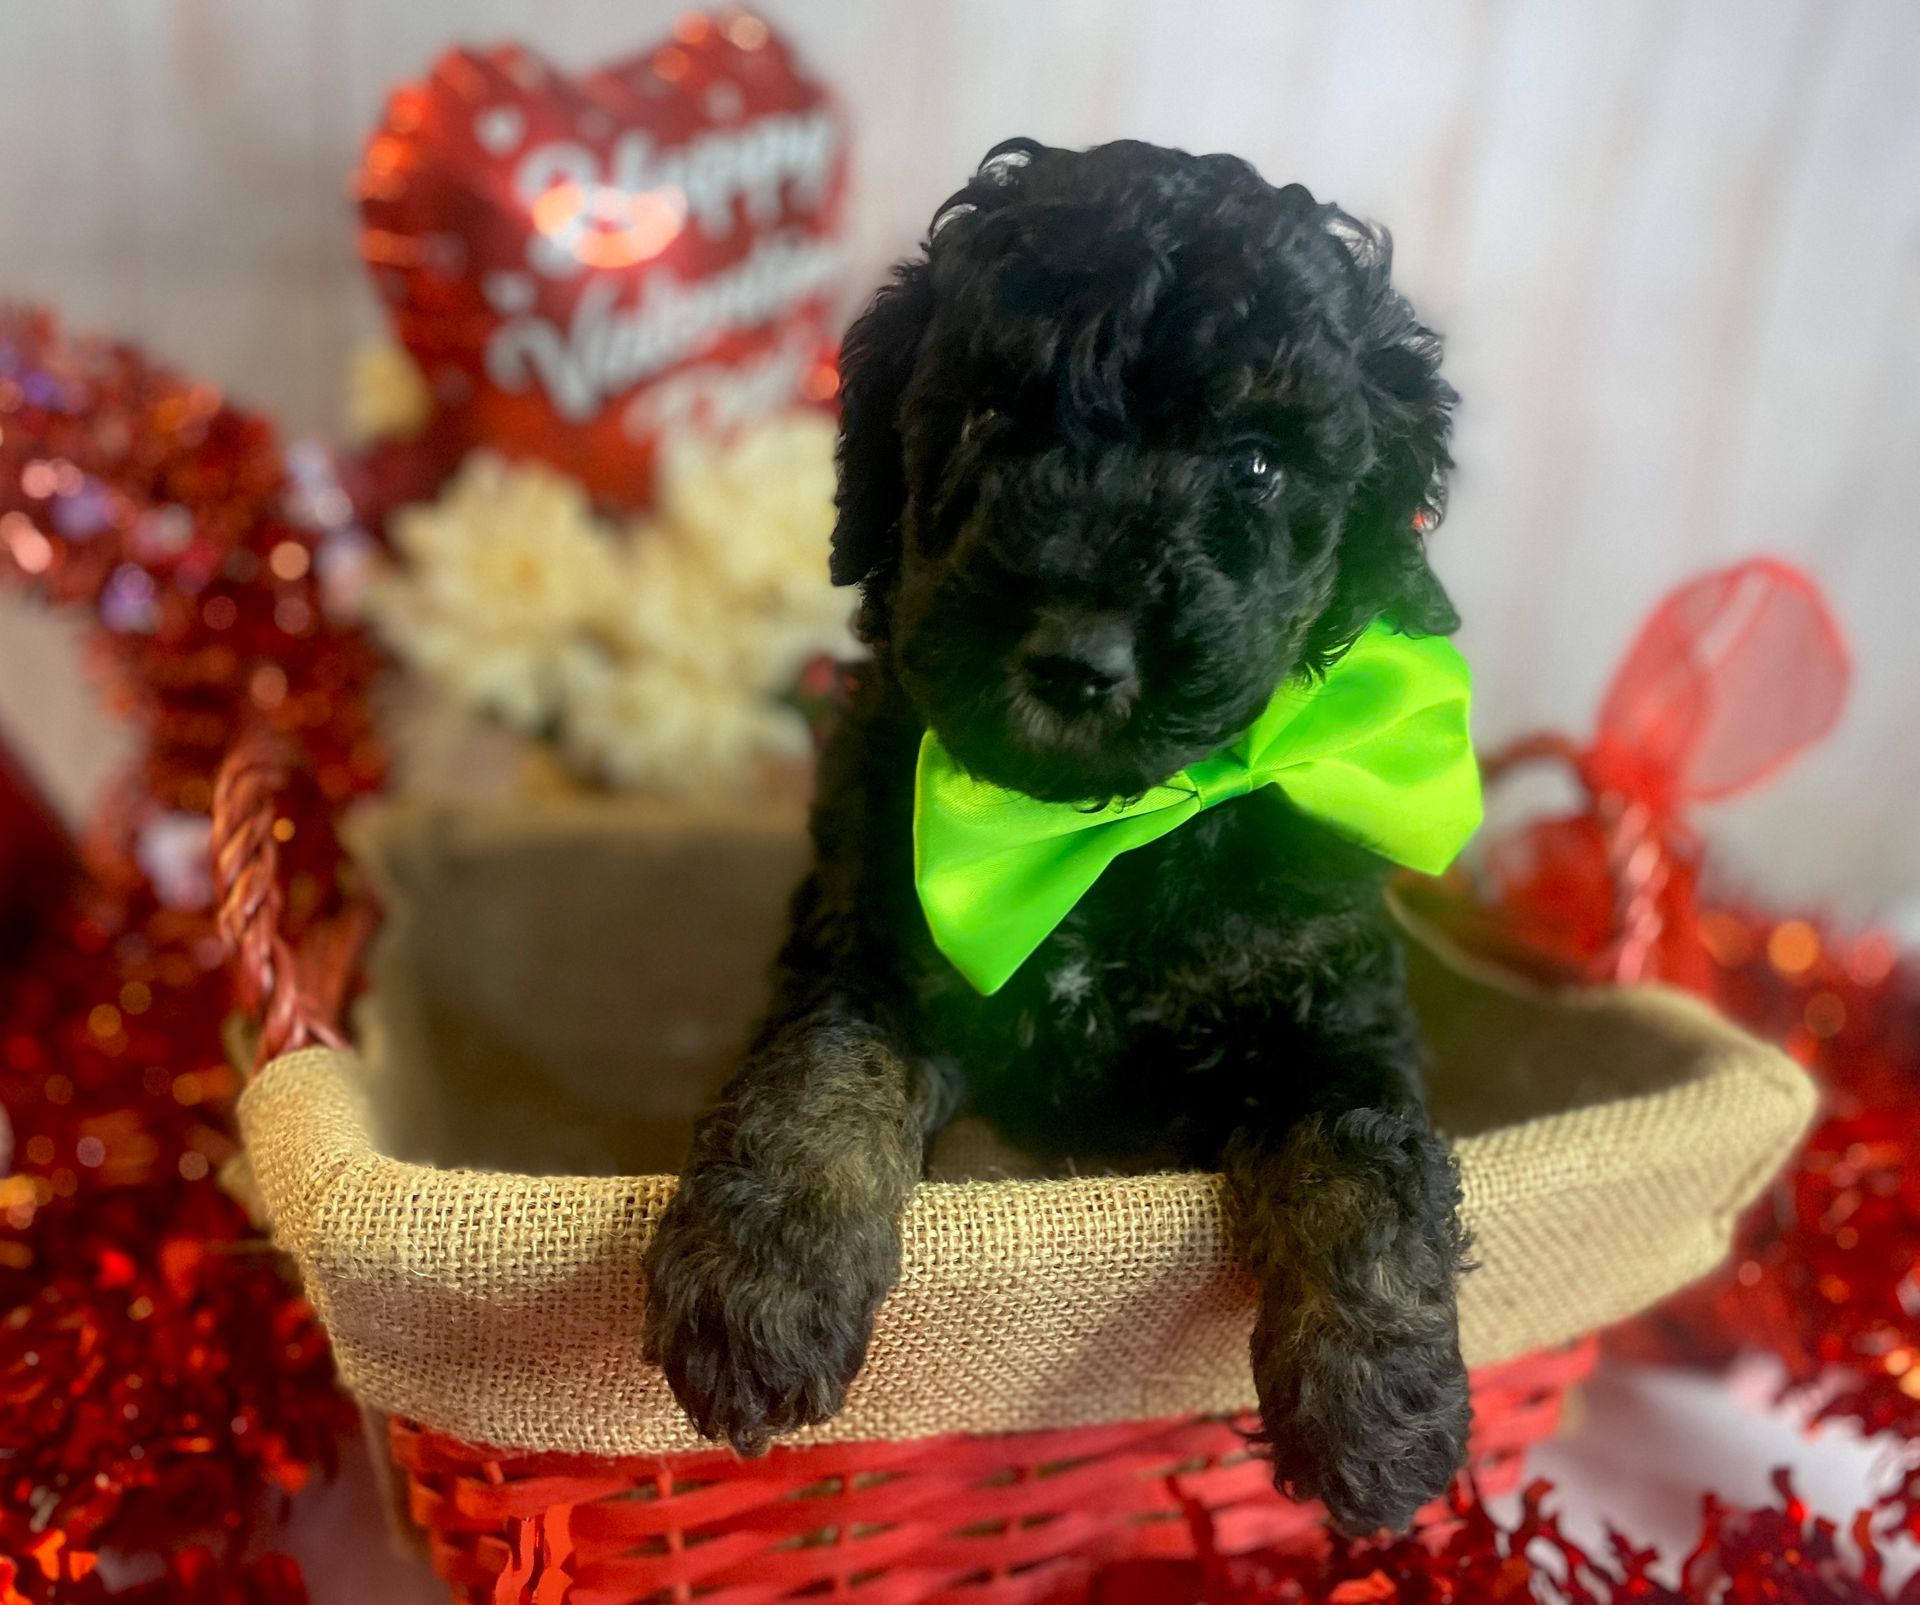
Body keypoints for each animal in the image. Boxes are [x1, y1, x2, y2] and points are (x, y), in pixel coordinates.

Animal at [645, 143, 1466, 1535]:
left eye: (1256, 466)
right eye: (991, 418)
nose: (1078, 657)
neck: (1098, 836)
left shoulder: (1327, 1007)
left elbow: (1364, 1162)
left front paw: (1383, 1412)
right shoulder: (870, 938)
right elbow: (818, 1075)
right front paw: (753, 1286)